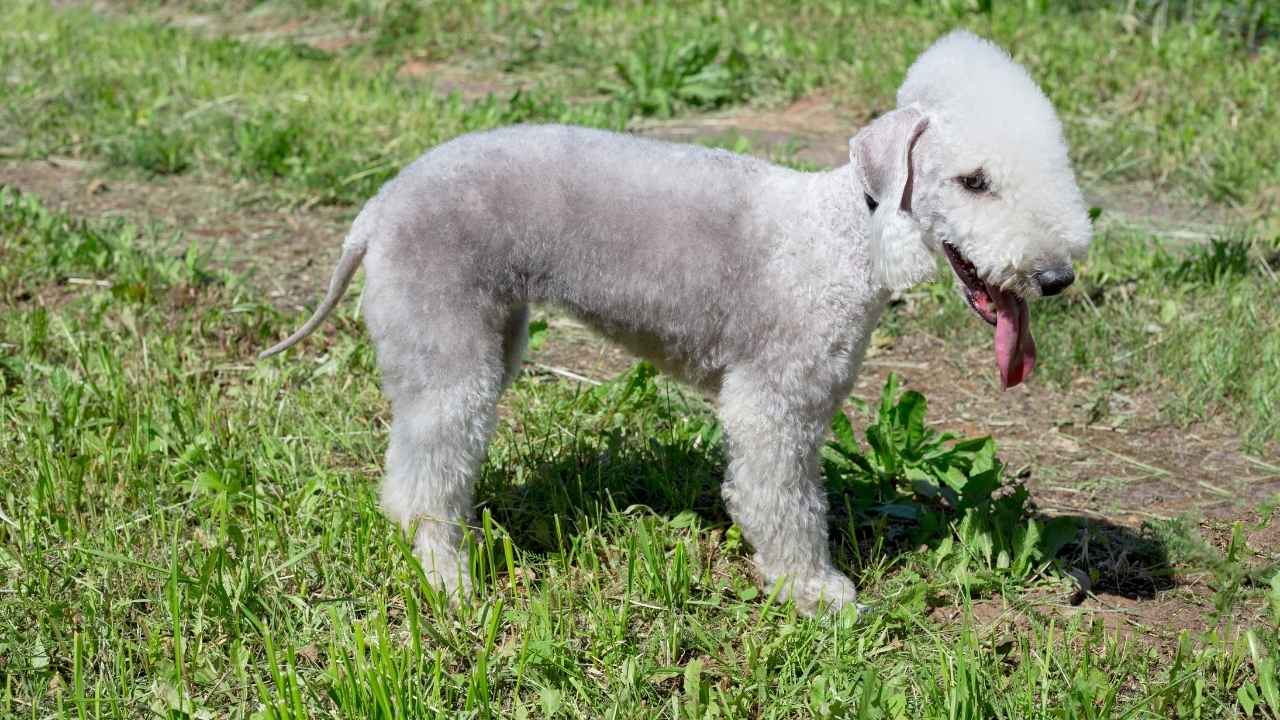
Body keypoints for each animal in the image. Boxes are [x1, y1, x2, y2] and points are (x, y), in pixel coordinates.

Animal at [259, 32, 1090, 609]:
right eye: (973, 181)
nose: (1056, 276)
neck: (849, 233)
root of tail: (378, 208)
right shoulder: (774, 403)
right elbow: (782, 501)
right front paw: (813, 592)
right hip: (446, 345)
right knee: (423, 479)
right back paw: (449, 578)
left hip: (494, 331)